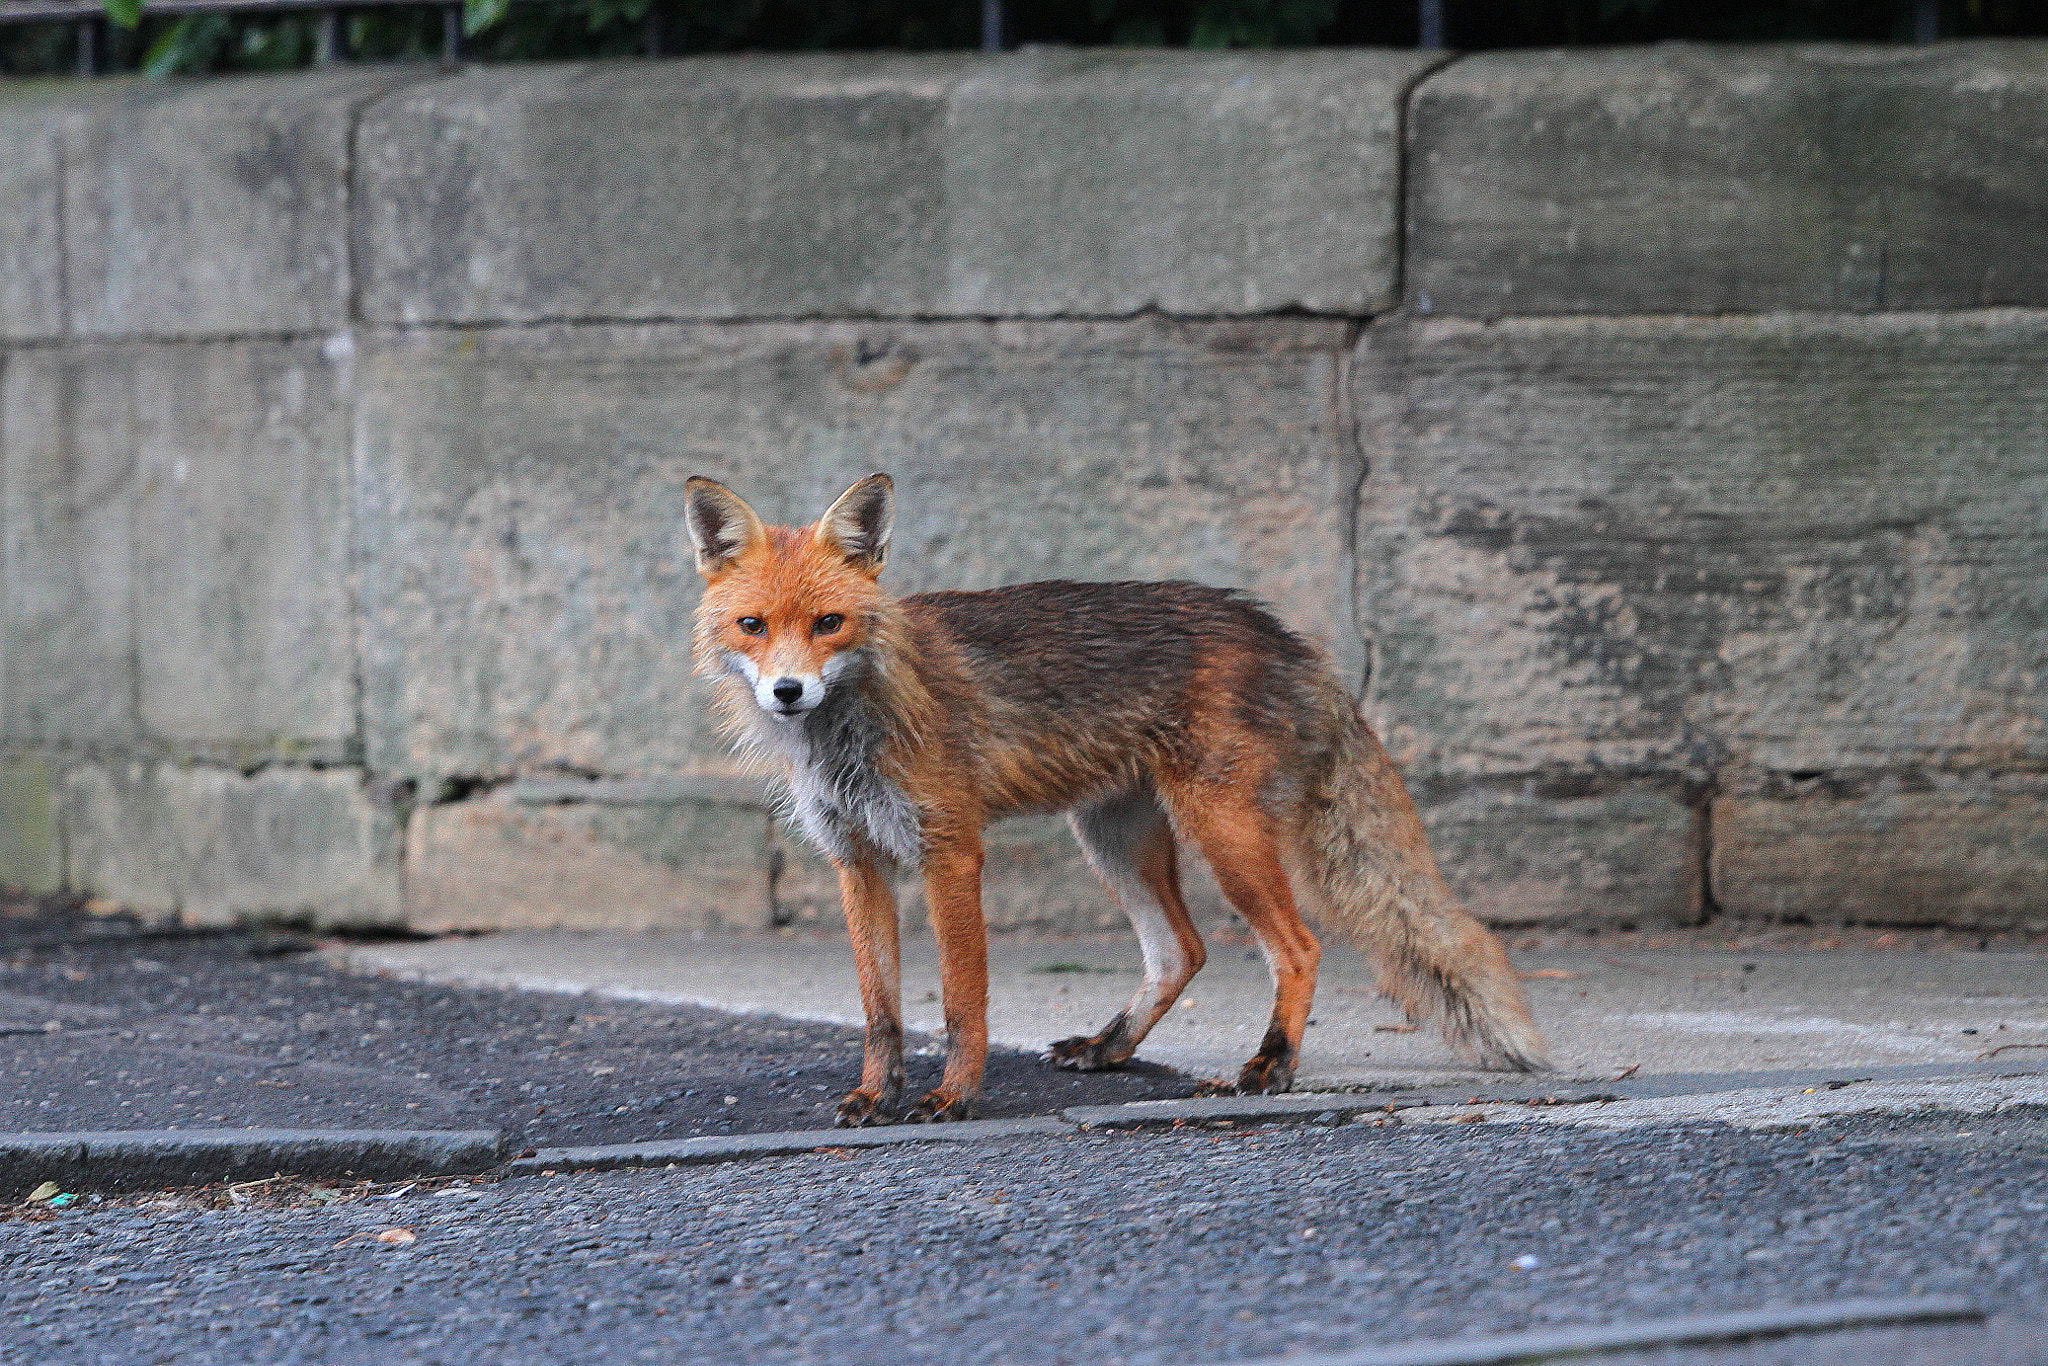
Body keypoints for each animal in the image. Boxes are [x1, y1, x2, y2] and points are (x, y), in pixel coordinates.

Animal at [685, 473, 1551, 1126]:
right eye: (753, 625)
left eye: (829, 623)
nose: (788, 692)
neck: (851, 732)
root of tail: (1283, 634)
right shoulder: (857, 860)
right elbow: (881, 1011)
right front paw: (876, 1095)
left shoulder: (950, 851)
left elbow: (964, 1004)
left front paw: (953, 1097)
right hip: (1111, 835)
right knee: (1181, 950)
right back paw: (1111, 1048)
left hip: (1218, 829)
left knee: (1297, 946)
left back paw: (1269, 1064)